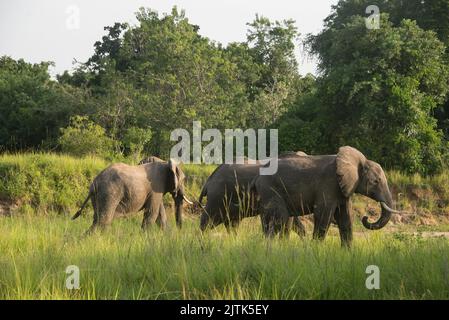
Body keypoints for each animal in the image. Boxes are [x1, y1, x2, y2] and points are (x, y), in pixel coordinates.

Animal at [248, 146, 400, 246]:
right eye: (375, 181)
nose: (365, 217)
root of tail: (257, 178)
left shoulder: (342, 189)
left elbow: (346, 218)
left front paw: (348, 254)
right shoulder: (329, 184)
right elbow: (323, 215)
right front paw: (316, 250)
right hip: (271, 190)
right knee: (279, 219)